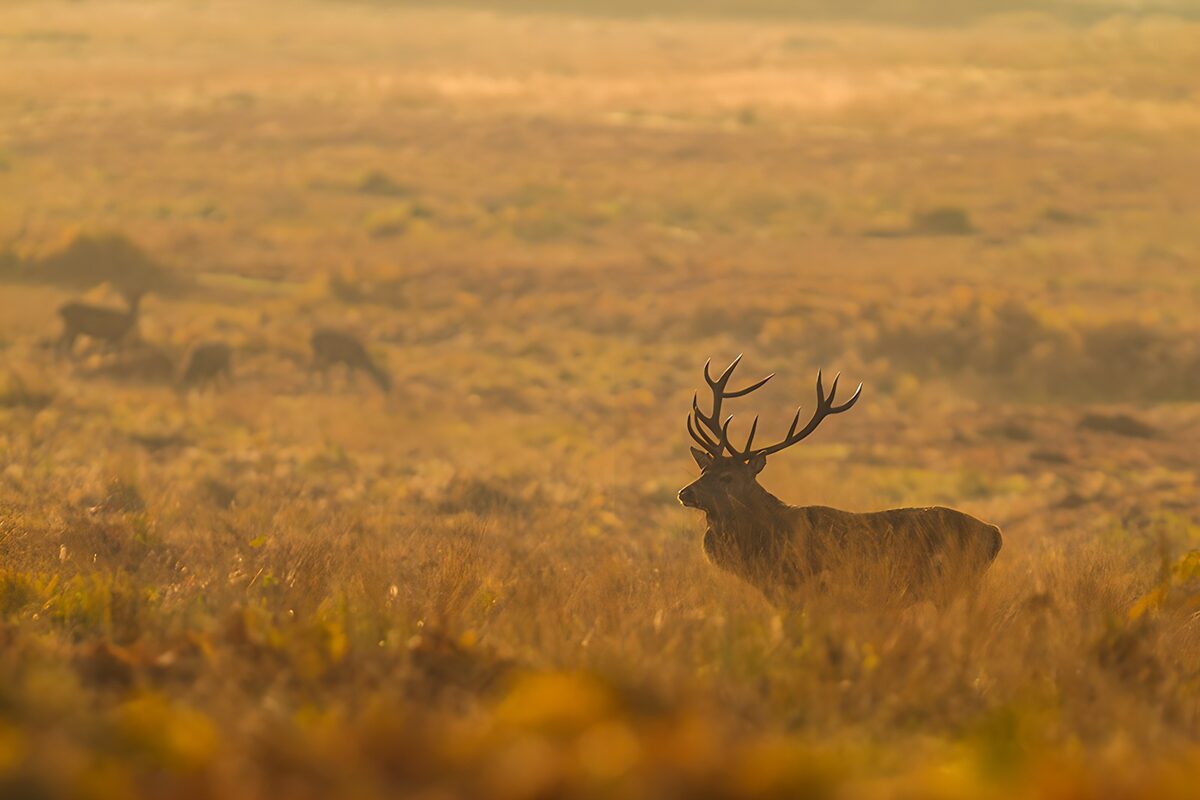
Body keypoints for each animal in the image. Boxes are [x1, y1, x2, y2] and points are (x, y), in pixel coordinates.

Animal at [679, 356, 1002, 607]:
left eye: (728, 477)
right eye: (703, 471)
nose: (684, 493)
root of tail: (994, 534)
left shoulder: (805, 588)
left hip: (950, 583)